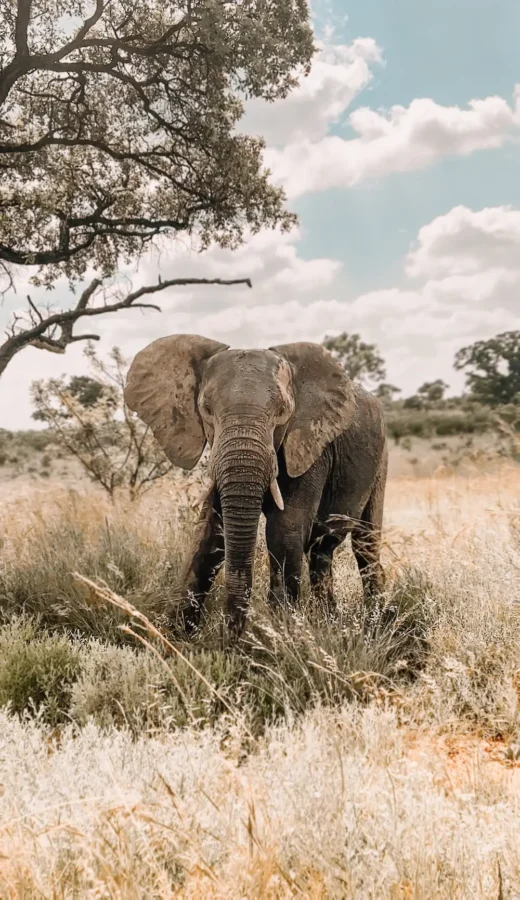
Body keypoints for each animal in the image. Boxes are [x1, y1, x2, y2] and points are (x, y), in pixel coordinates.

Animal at [124, 335, 388, 638]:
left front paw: (280, 635)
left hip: (381, 458)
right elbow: (210, 532)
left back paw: (375, 624)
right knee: (321, 549)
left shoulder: (309, 446)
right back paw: (329, 624)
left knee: (366, 544)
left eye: (283, 412)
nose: (231, 637)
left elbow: (283, 529)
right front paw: (174, 636)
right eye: (206, 410)